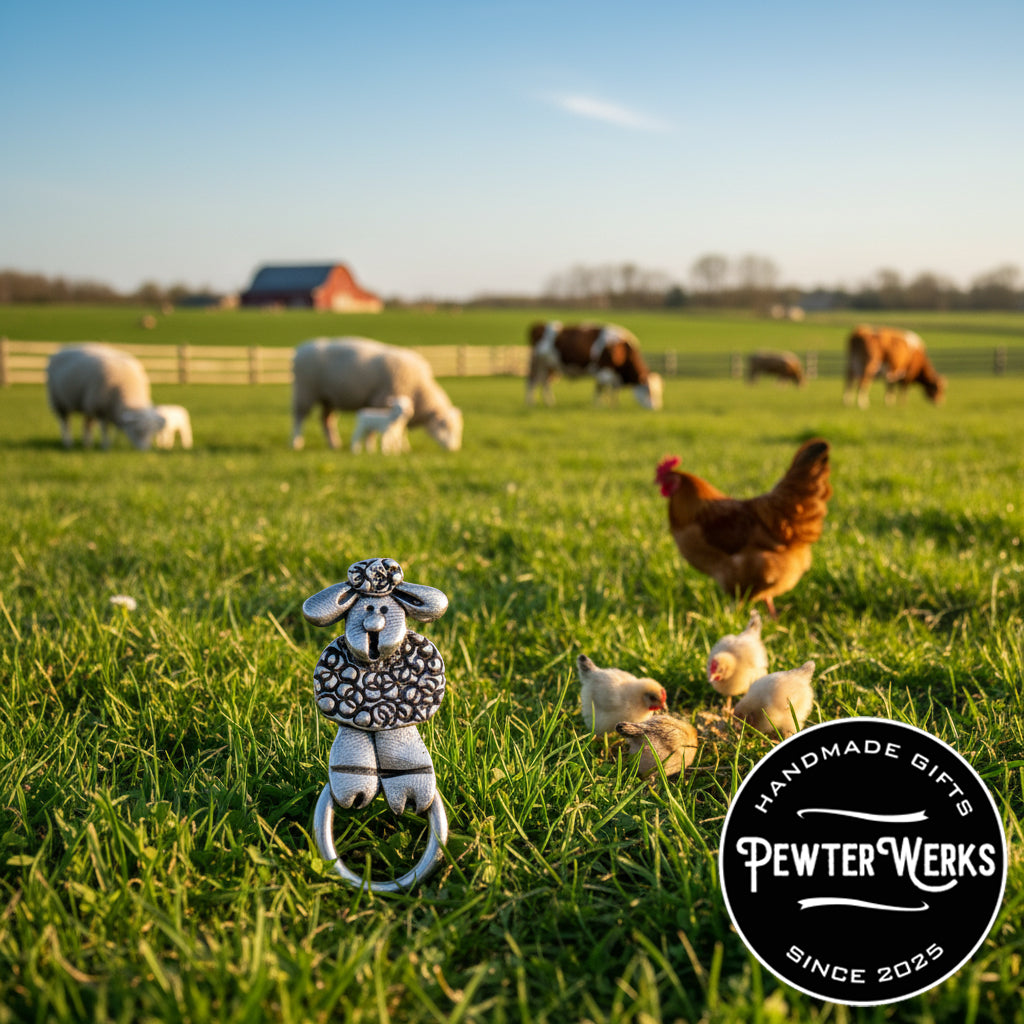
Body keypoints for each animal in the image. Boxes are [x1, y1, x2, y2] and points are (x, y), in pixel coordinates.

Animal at [292, 338, 463, 452]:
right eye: (444, 425)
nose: (454, 449)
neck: (419, 389)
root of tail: (300, 349)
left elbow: (401, 430)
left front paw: (404, 448)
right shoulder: (380, 400)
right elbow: (376, 430)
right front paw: (372, 447)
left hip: (328, 398)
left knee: (326, 421)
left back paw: (334, 444)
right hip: (305, 390)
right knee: (299, 417)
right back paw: (296, 443)